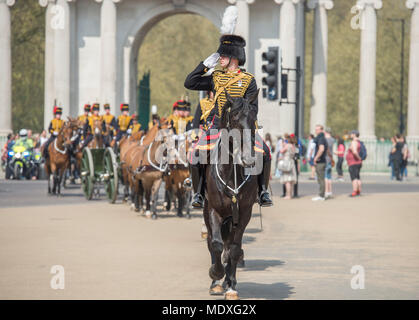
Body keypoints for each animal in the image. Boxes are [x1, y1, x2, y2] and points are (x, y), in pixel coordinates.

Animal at [203, 90, 260, 300]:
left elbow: (234, 249)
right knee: (213, 242)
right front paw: (216, 274)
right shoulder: (214, 210)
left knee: (229, 247)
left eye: (253, 118)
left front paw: (231, 284)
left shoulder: (243, 213)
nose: (249, 159)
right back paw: (216, 281)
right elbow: (216, 244)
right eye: (234, 118)